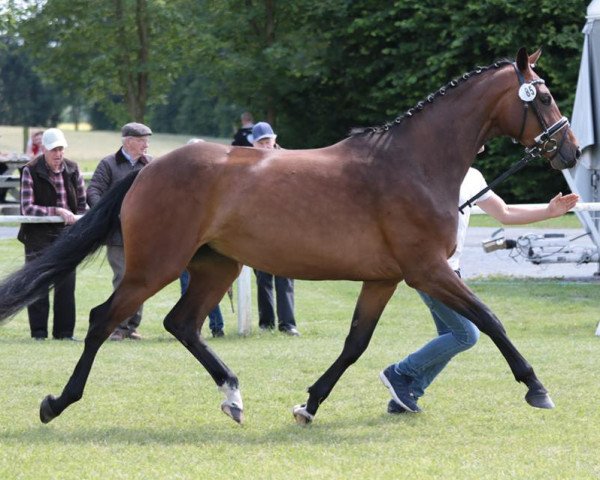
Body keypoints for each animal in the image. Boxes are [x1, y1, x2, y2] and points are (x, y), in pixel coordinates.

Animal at [0, 48, 580, 424]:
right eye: (545, 95)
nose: (570, 151)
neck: (413, 164)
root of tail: (146, 170)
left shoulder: (384, 279)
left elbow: (354, 344)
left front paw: (309, 404)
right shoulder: (428, 270)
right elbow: (490, 318)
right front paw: (538, 388)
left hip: (216, 265)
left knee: (182, 323)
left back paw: (233, 397)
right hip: (156, 266)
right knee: (105, 319)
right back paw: (57, 403)